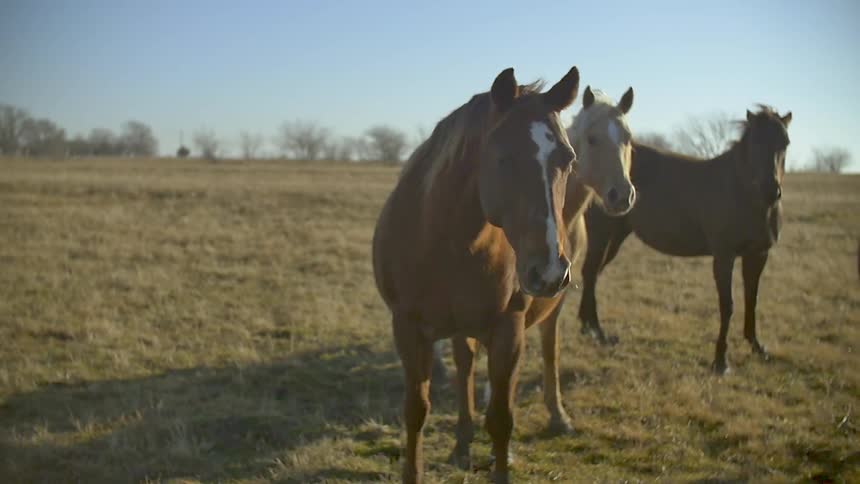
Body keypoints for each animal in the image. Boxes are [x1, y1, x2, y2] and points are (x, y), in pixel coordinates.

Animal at [372, 64, 637, 482]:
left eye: (568, 158)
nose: (548, 270)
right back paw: (462, 442)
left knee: (543, 352)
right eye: (504, 158)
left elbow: (501, 418)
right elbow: (416, 413)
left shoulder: (507, 329)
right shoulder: (408, 328)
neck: (446, 240)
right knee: (465, 365)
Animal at [576, 105, 792, 375]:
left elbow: (752, 299)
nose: (771, 191)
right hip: (602, 234)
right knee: (590, 272)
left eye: (785, 142)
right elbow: (728, 305)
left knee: (592, 274)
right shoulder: (724, 256)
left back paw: (589, 328)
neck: (744, 193)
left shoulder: (758, 254)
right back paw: (597, 332)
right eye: (755, 142)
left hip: (616, 237)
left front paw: (758, 347)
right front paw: (721, 361)